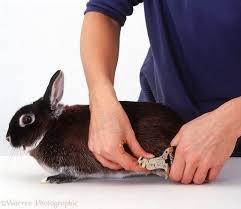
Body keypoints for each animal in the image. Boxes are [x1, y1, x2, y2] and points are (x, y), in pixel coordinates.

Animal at [4, 70, 184, 183]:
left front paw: (56, 178)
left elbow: (74, 173)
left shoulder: (77, 164)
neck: (50, 128)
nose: (7, 138)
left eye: (27, 119)